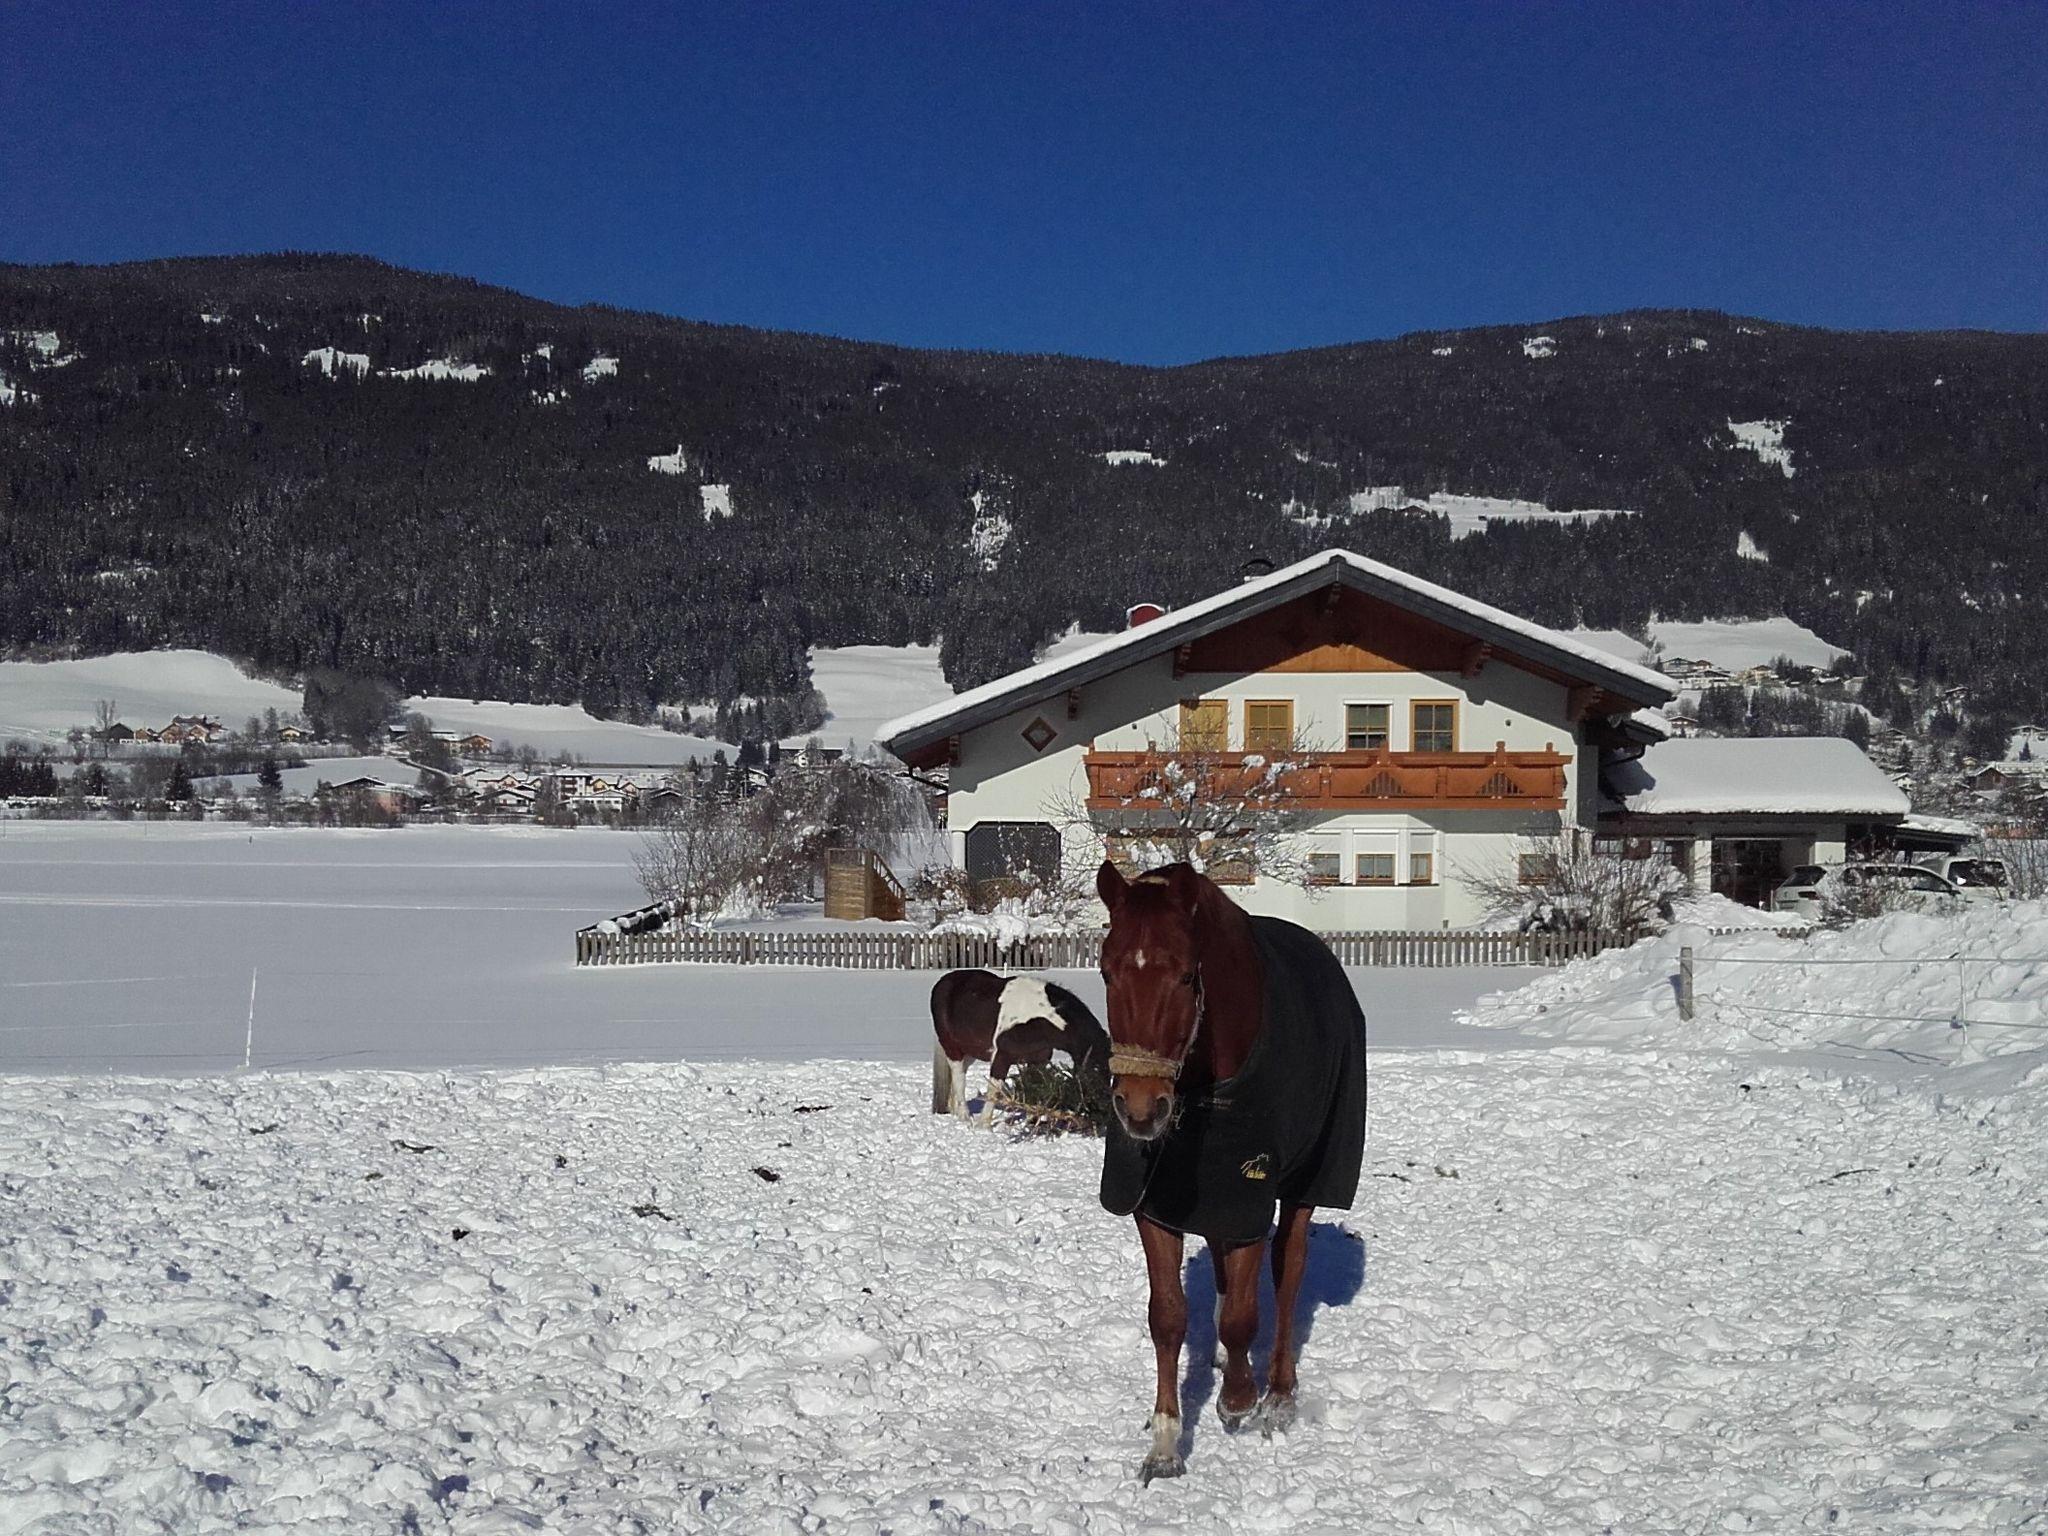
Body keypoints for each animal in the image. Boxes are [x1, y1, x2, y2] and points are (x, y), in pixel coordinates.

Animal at [933, 978, 1114, 1122]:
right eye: (1095, 1068)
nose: (1103, 1107)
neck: (1037, 1017)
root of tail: (943, 982)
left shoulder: (1039, 1060)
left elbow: (1036, 1089)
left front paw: (1034, 1118)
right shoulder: (1001, 1057)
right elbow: (994, 1090)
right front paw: (983, 1126)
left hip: (970, 1051)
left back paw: (955, 1110)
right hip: (952, 1048)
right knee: (959, 1079)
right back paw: (964, 1116)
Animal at [1097, 860, 1368, 1482]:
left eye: (1186, 976)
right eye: (1106, 971)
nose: (1141, 1109)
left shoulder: (1249, 1194)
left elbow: (1245, 1314)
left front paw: (1240, 1399)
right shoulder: (1156, 1203)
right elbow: (1169, 1317)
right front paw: (1166, 1443)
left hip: (1304, 1183)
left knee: (1287, 1274)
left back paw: (1278, 1395)